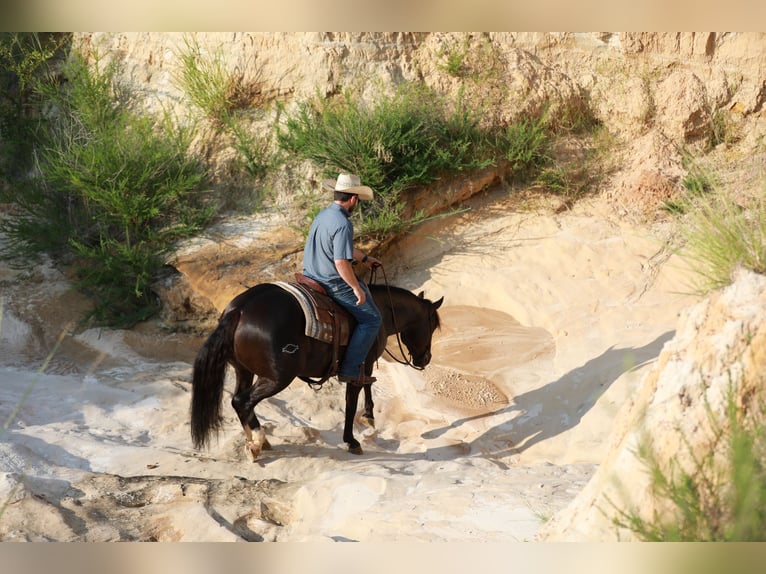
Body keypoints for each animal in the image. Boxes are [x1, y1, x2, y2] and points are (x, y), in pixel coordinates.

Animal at [191, 284, 444, 464]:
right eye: (432, 325)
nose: (426, 358)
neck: (380, 308)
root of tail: (239, 310)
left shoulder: (366, 365)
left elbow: (367, 386)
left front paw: (369, 415)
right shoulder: (358, 366)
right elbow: (352, 401)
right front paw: (352, 440)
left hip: (244, 371)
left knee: (239, 401)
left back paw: (257, 441)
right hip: (278, 378)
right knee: (241, 401)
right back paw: (257, 443)